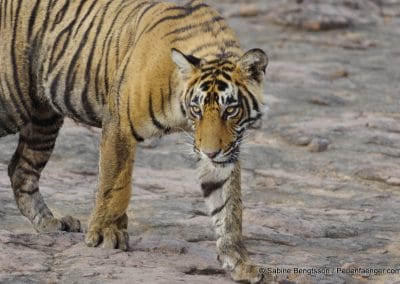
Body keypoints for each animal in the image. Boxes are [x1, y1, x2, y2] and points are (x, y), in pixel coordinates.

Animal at [0, 1, 270, 282]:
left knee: (21, 170)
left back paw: (50, 223)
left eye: (230, 110)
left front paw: (239, 261)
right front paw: (105, 234)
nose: (210, 153)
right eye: (197, 109)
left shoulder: (226, 151)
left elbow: (228, 206)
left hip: (44, 117)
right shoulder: (119, 123)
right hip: (13, 102)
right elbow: (115, 185)